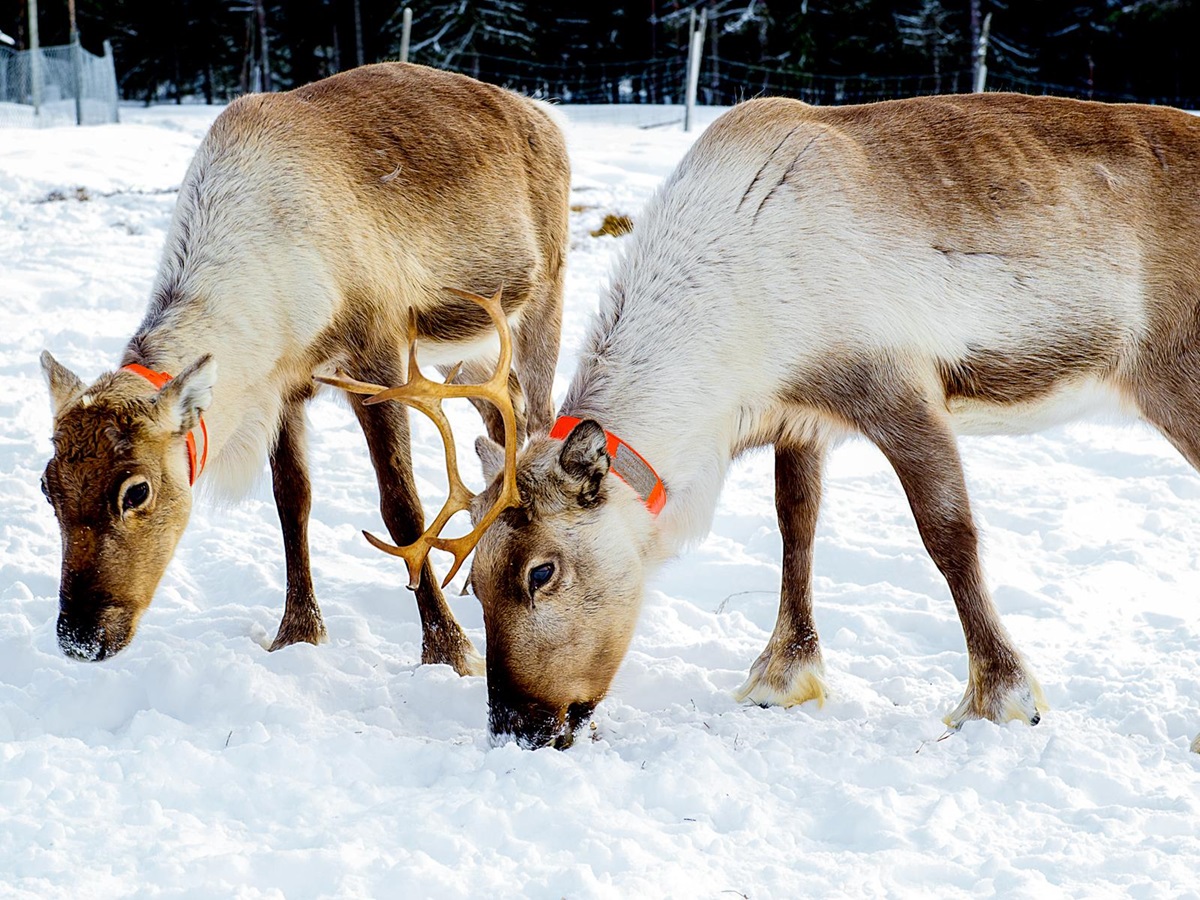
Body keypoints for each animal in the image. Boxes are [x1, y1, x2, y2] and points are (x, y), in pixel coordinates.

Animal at [38, 62, 570, 672]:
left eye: (136, 491)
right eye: (47, 486)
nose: (79, 637)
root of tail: (544, 111)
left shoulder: (378, 355)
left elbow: (402, 507)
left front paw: (450, 650)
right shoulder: (283, 387)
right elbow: (292, 500)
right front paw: (297, 631)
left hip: (543, 298)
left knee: (536, 416)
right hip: (475, 348)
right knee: (502, 414)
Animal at [346, 92, 1200, 752]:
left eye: (541, 572)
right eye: (478, 577)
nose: (517, 726)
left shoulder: (898, 388)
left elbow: (949, 537)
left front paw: (1002, 696)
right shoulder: (802, 417)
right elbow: (797, 529)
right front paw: (784, 674)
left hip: (1178, 382)